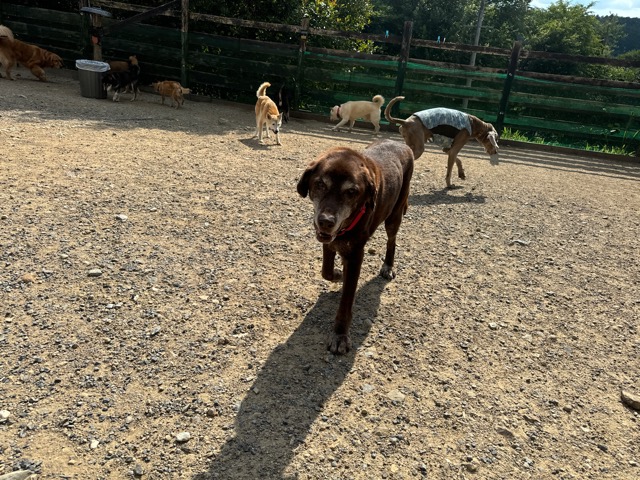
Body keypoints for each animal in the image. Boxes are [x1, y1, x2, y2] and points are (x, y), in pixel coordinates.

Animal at [297, 139, 414, 354]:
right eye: (320, 184)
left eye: (351, 192)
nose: (326, 221)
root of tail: (401, 143)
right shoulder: (330, 241)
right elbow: (326, 271)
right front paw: (337, 275)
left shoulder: (355, 255)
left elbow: (346, 301)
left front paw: (340, 335)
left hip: (394, 215)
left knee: (392, 240)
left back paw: (388, 266)